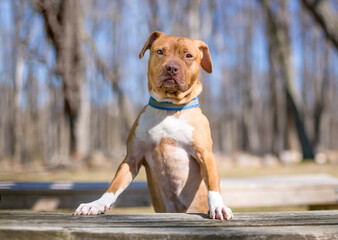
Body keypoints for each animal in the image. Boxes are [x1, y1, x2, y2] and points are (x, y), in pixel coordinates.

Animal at [74, 31, 234, 221]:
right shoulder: (132, 159)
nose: (171, 68)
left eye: (188, 55)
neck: (168, 108)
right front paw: (96, 204)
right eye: (160, 51)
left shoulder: (206, 155)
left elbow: (213, 184)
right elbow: (114, 185)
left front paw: (218, 206)